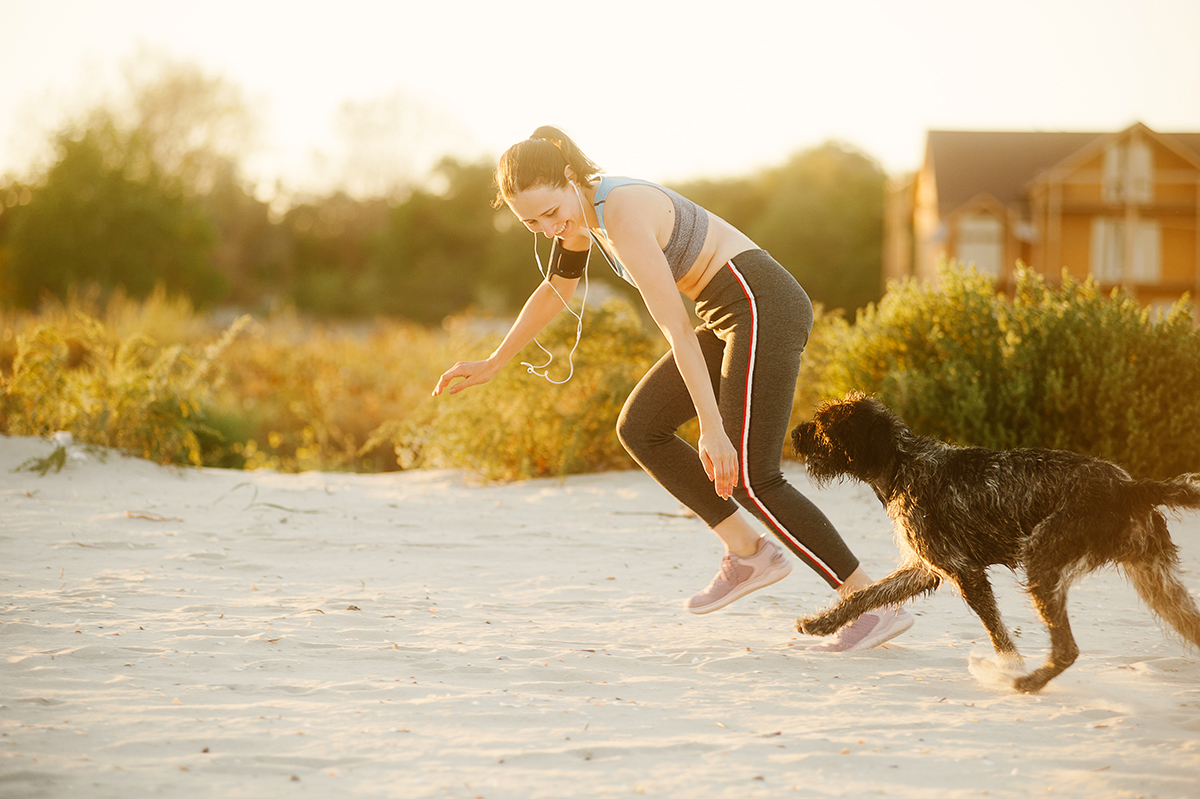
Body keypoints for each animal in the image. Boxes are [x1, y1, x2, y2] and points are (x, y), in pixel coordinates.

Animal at [787, 391, 1200, 691]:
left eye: (823, 425)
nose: (793, 433)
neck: (903, 463)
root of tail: (1131, 488)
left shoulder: (965, 572)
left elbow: (999, 636)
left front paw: (1007, 667)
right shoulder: (926, 568)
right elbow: (865, 596)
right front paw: (822, 623)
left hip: (1042, 560)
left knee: (1067, 650)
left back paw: (1028, 681)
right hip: (1158, 585)